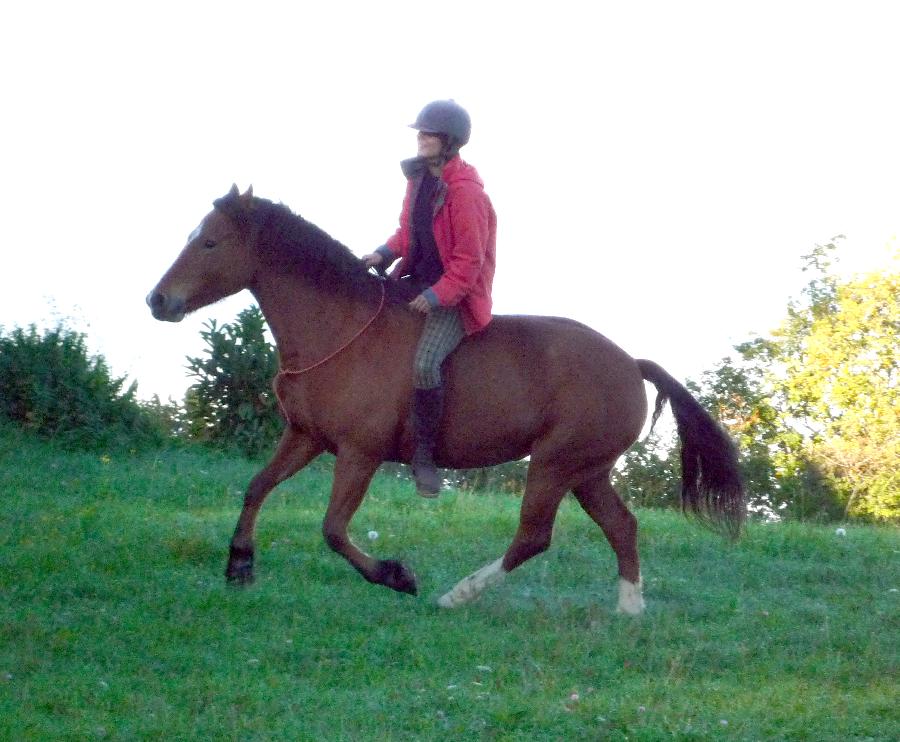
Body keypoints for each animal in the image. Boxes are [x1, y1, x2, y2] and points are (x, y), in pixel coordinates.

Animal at [144, 186, 740, 616]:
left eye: (210, 243)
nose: (157, 300)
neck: (342, 328)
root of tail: (630, 363)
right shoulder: (305, 437)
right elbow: (256, 488)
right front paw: (240, 565)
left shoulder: (359, 453)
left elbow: (333, 529)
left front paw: (397, 576)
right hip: (587, 471)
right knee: (621, 527)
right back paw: (629, 610)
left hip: (555, 464)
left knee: (532, 537)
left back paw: (457, 595)